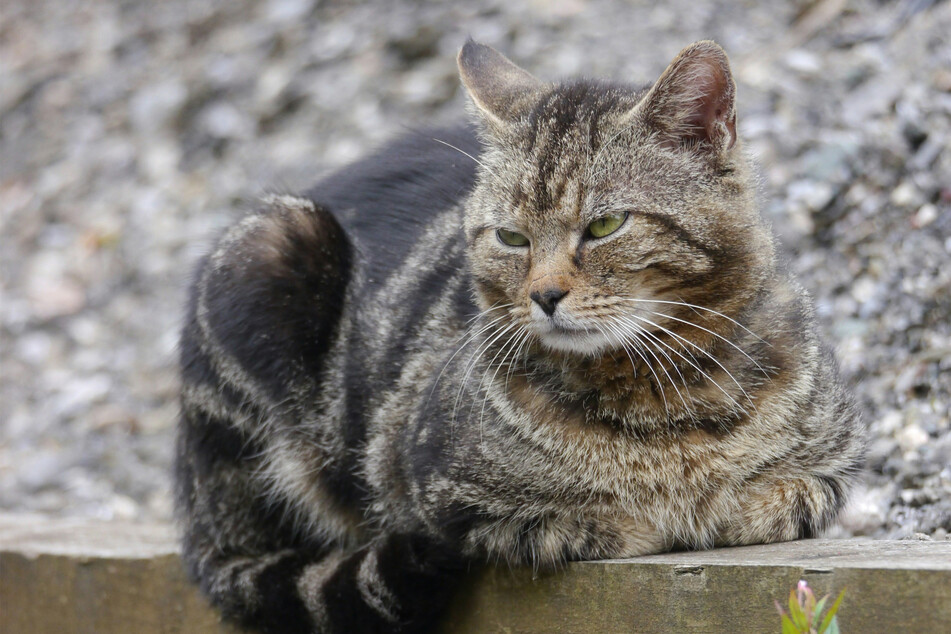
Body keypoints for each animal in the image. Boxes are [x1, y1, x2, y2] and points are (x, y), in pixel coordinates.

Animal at [175, 40, 868, 632]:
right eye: (512, 238)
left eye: (606, 225)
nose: (544, 295)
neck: (660, 392)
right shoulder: (436, 491)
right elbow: (578, 524)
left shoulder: (830, 470)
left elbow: (782, 498)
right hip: (267, 251)